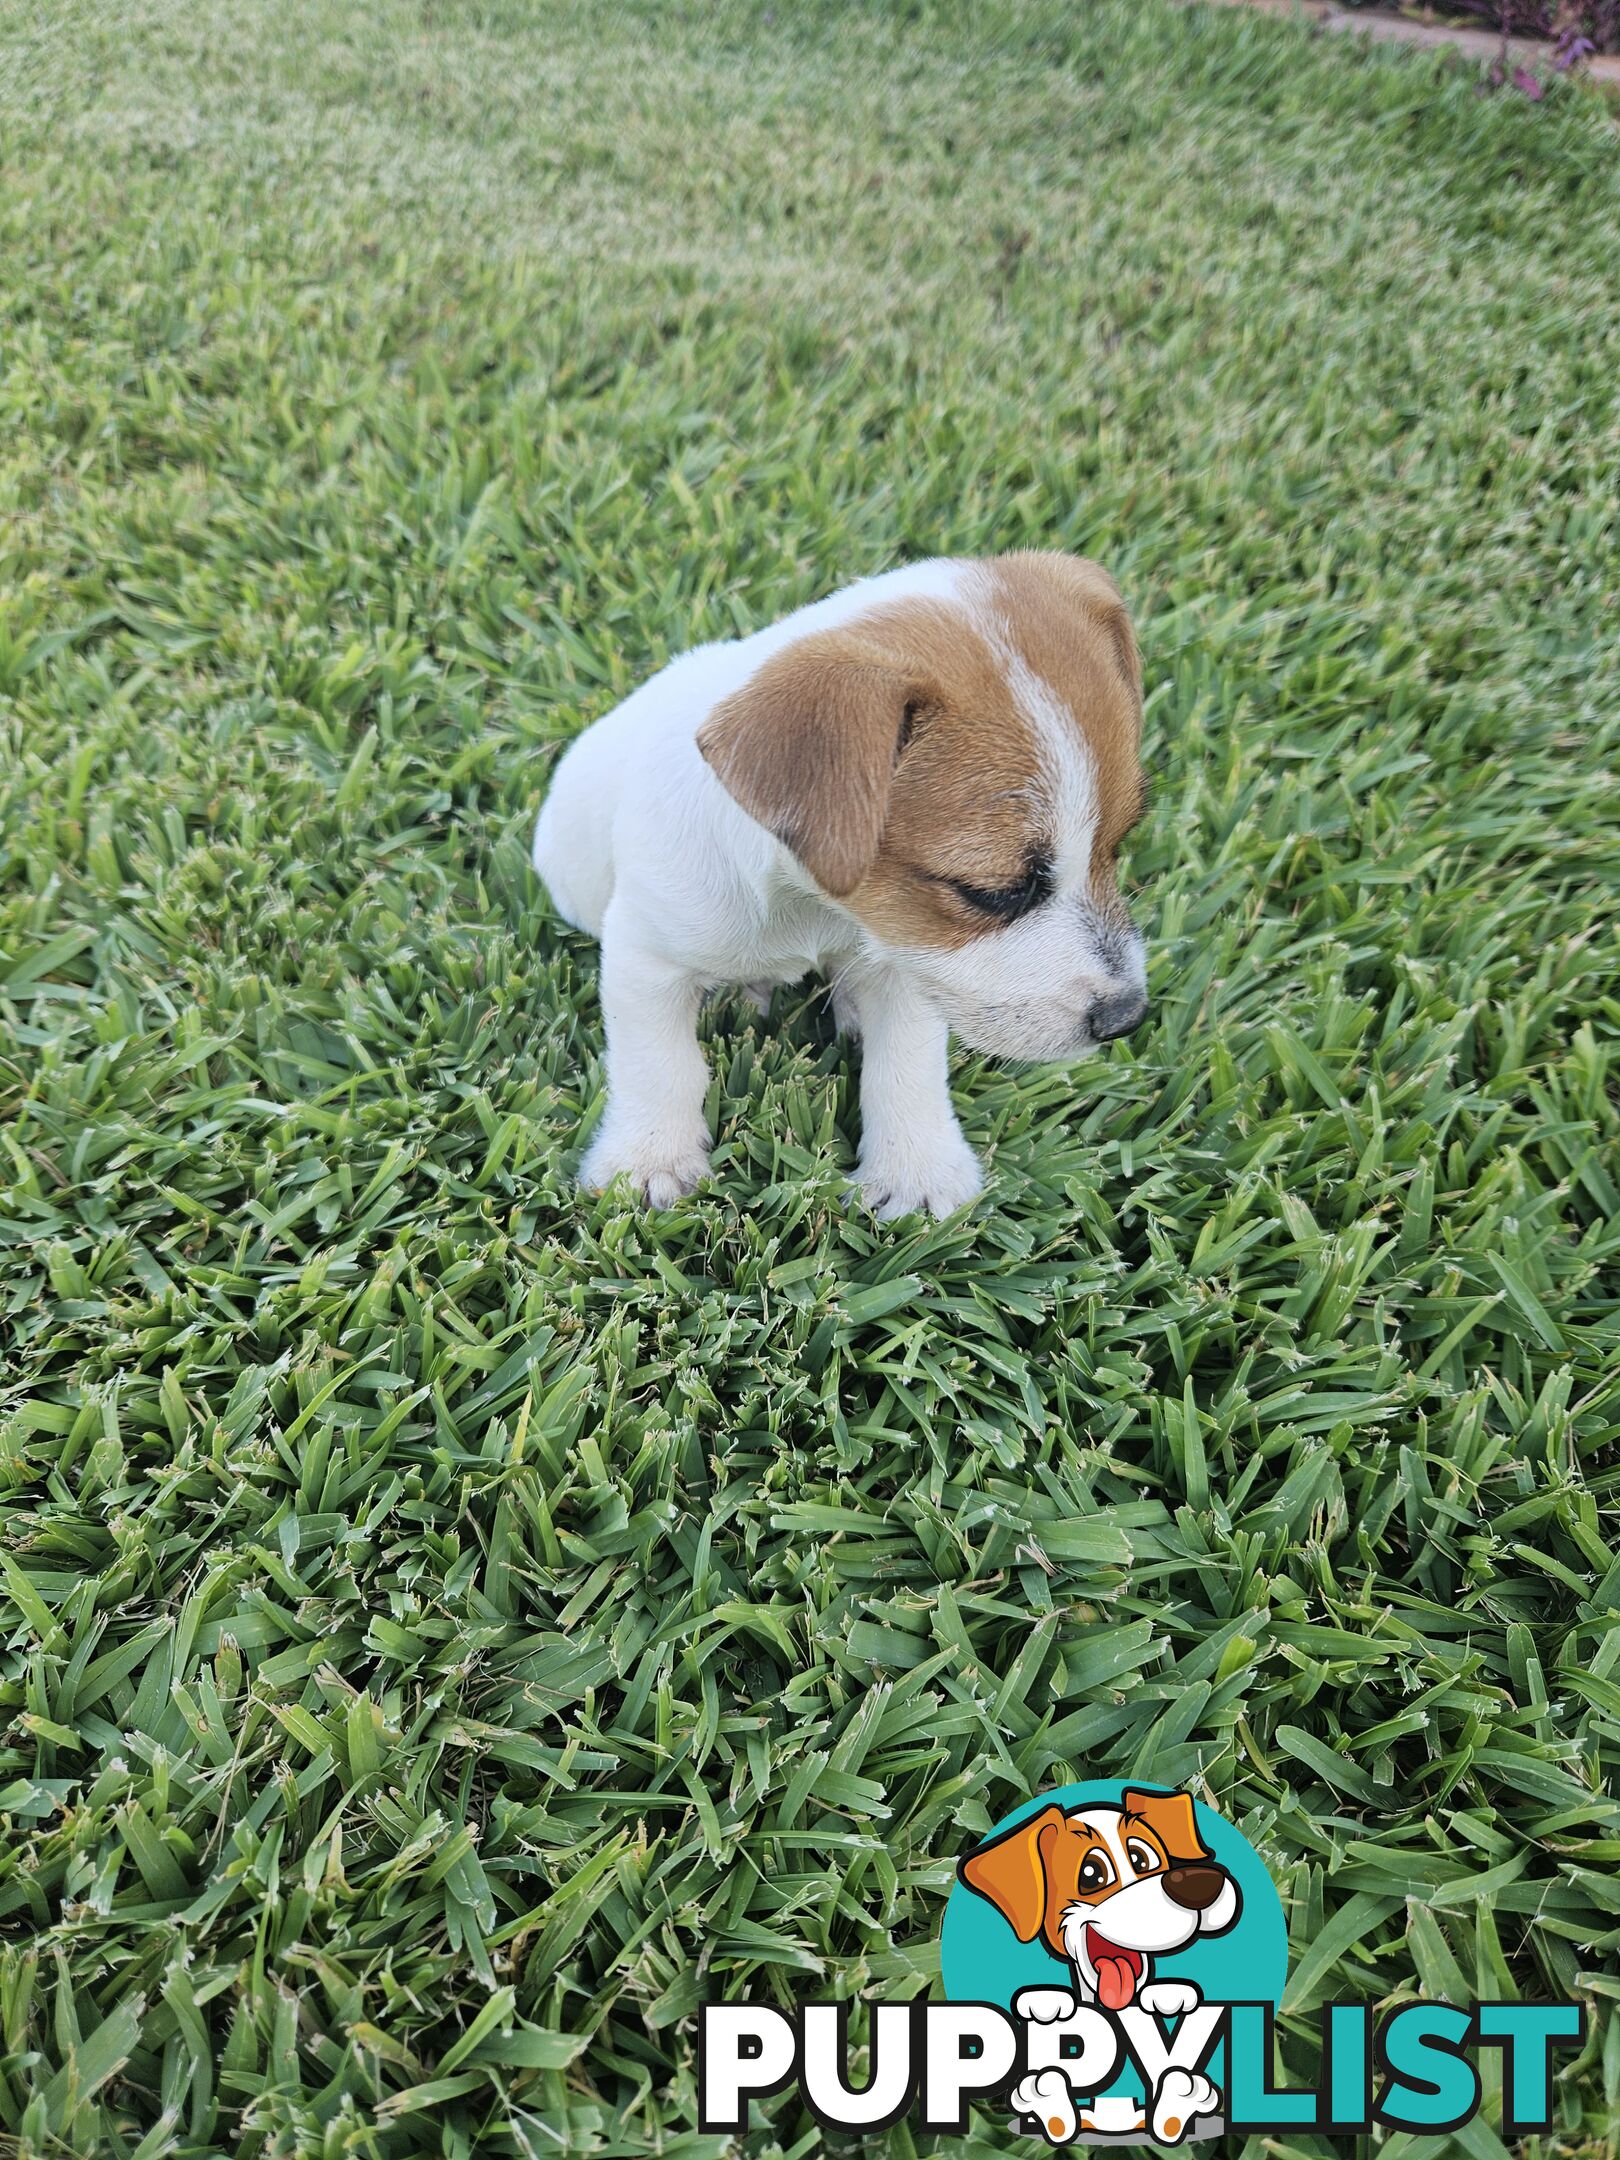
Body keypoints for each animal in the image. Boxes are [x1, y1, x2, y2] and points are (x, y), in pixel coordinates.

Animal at [535, 552, 1157, 1218]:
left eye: (1116, 846)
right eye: (994, 893)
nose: (1126, 1018)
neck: (814, 902)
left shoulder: (912, 955)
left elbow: (906, 1064)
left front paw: (916, 1169)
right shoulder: (644, 958)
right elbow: (658, 1063)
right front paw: (650, 1160)